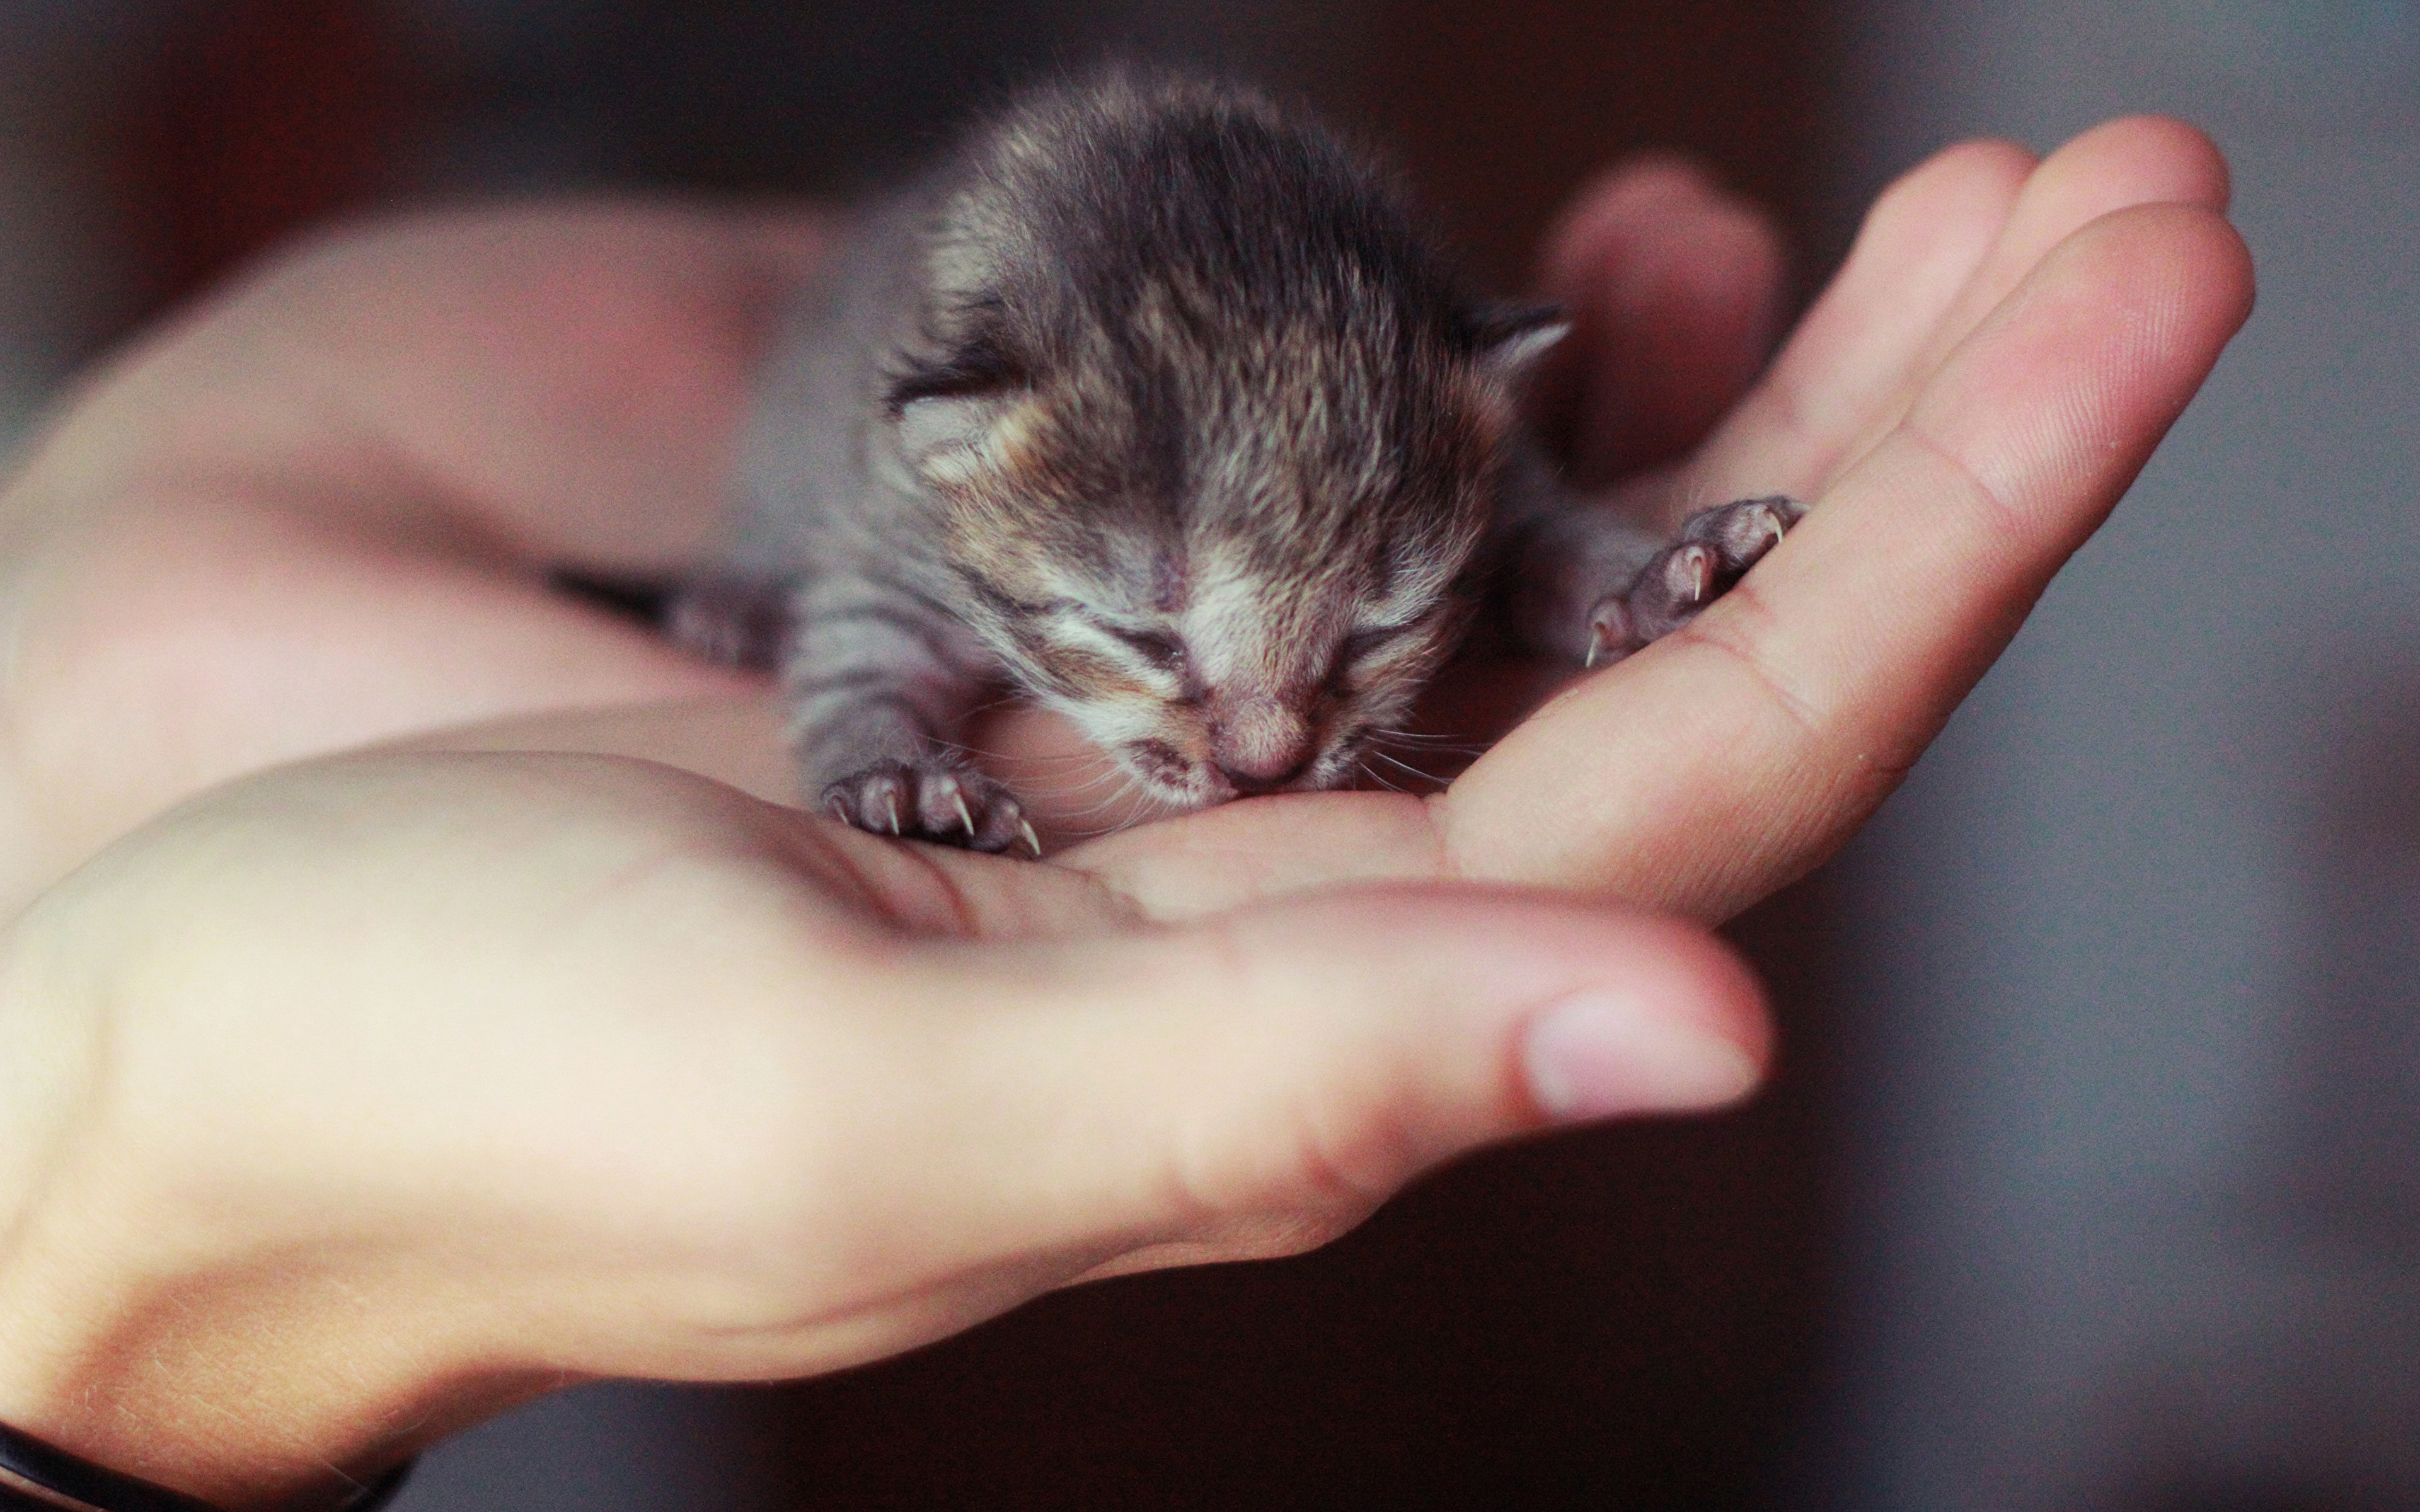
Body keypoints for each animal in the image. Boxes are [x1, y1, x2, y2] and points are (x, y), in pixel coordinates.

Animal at [677, 76, 1800, 856]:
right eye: (1141, 638)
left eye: (1376, 630)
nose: (1266, 770)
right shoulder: (892, 529)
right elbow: (855, 655)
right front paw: (899, 781)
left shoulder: (1503, 486)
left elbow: (1555, 534)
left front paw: (1652, 575)